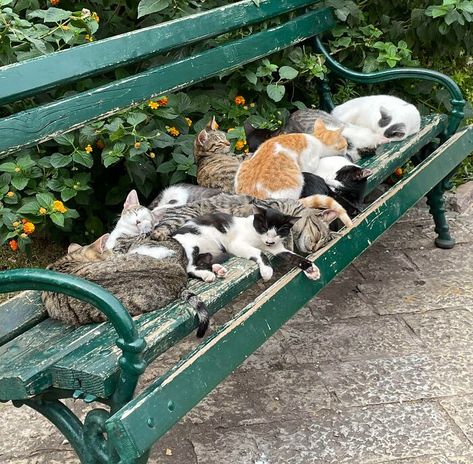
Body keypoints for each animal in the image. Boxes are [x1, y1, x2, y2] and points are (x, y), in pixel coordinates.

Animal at [149, 194, 334, 256]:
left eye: (322, 245)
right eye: (318, 233)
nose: (314, 248)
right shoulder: (263, 207)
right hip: (182, 218)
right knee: (158, 230)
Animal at [171, 206, 318, 282]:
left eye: (279, 231)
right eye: (264, 228)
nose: (269, 241)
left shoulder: (277, 247)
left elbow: (293, 256)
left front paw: (311, 268)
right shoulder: (236, 244)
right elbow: (260, 252)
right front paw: (267, 271)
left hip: (208, 253)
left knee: (203, 260)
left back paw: (218, 269)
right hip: (191, 244)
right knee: (189, 268)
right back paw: (207, 274)